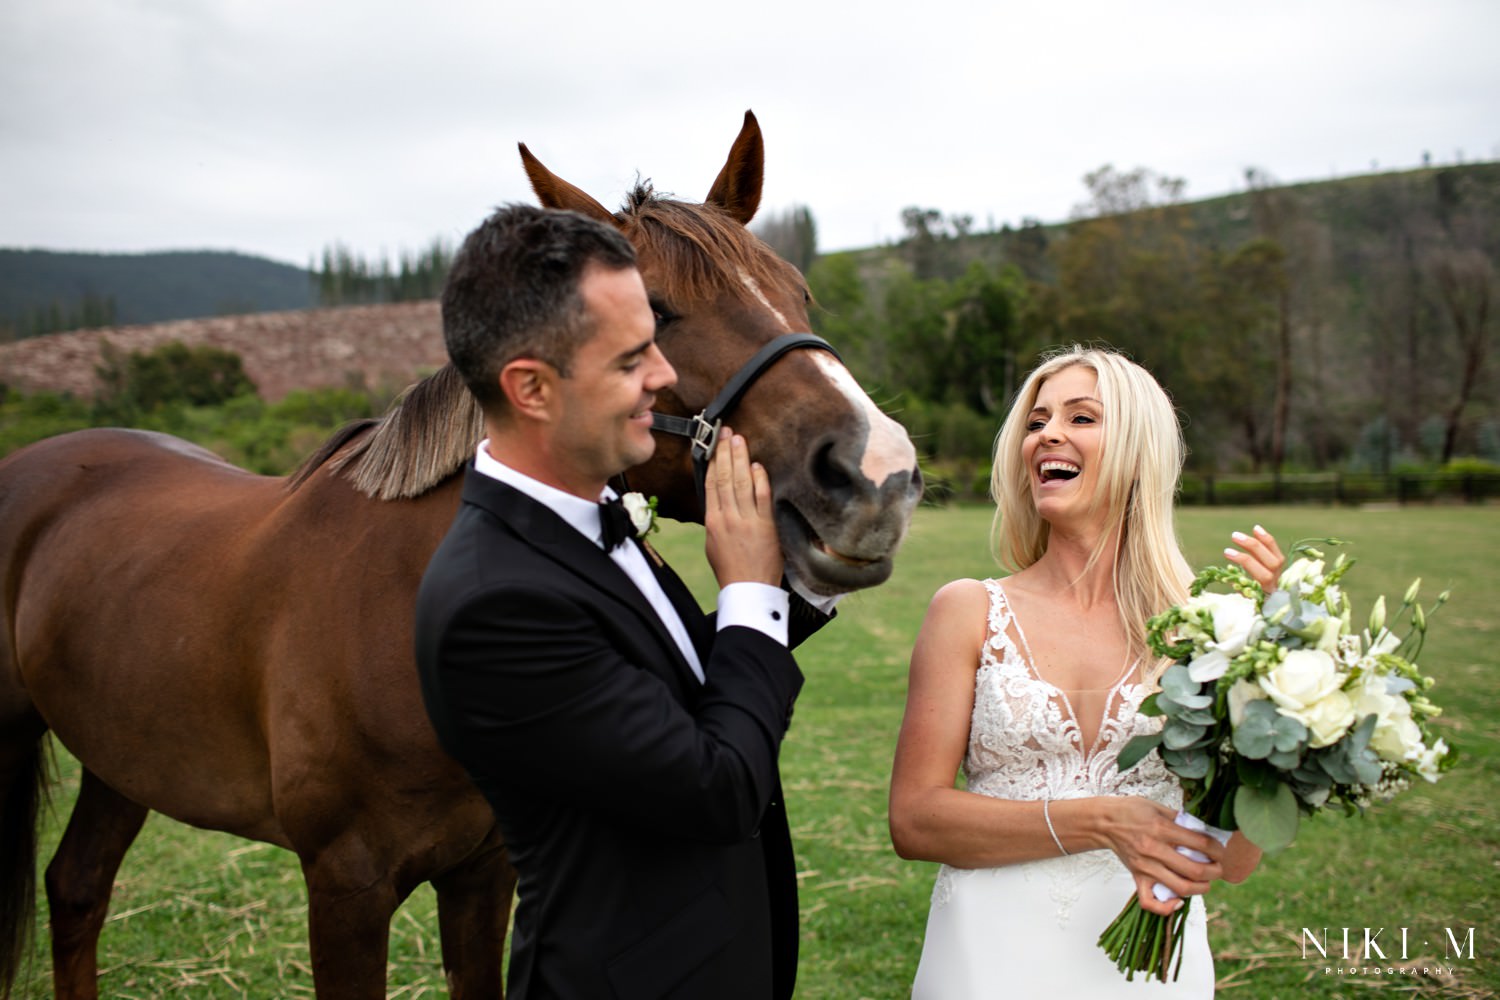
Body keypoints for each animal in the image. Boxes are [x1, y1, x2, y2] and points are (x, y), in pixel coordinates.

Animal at [0, 111, 912, 1000]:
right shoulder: (345, 891)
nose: (879, 473)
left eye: (798, 291)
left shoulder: (486, 872)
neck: (401, 603)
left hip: (121, 755)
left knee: (77, 888)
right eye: (654, 309)